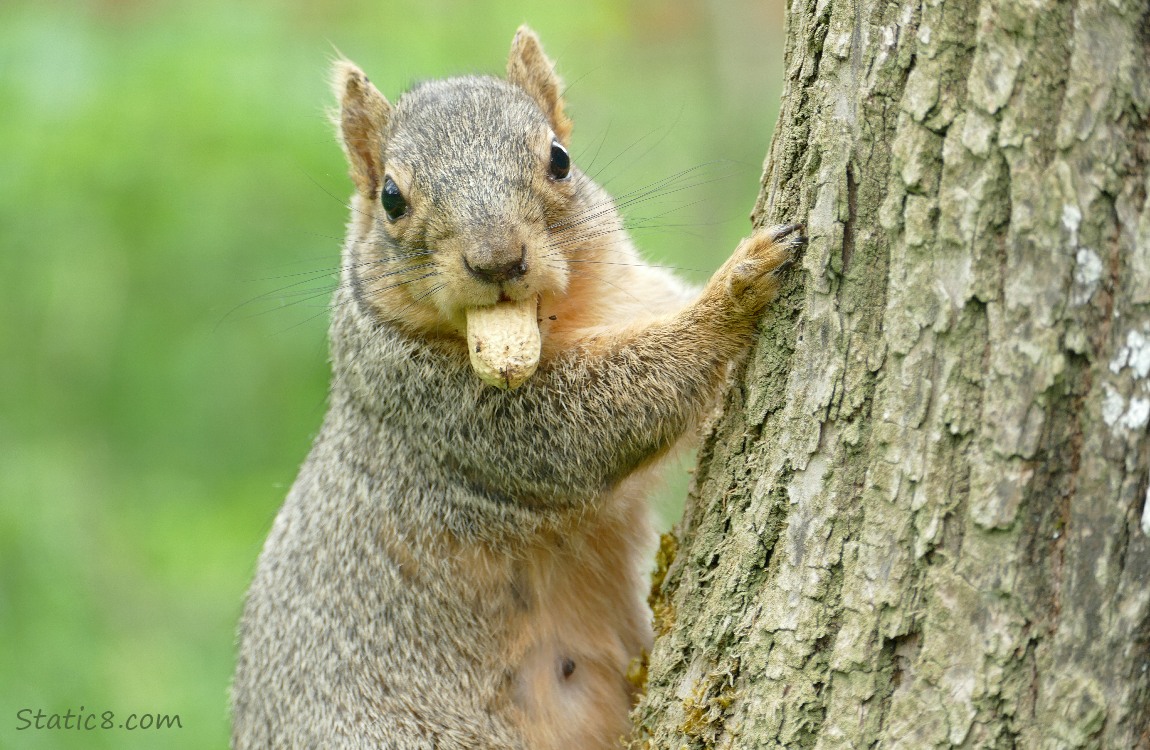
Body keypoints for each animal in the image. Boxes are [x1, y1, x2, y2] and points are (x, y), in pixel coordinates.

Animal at [230, 23, 805, 750]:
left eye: (560, 159)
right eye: (390, 198)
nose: (498, 260)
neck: (556, 318)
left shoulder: (640, 294)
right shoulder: (438, 410)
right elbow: (591, 421)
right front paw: (735, 291)